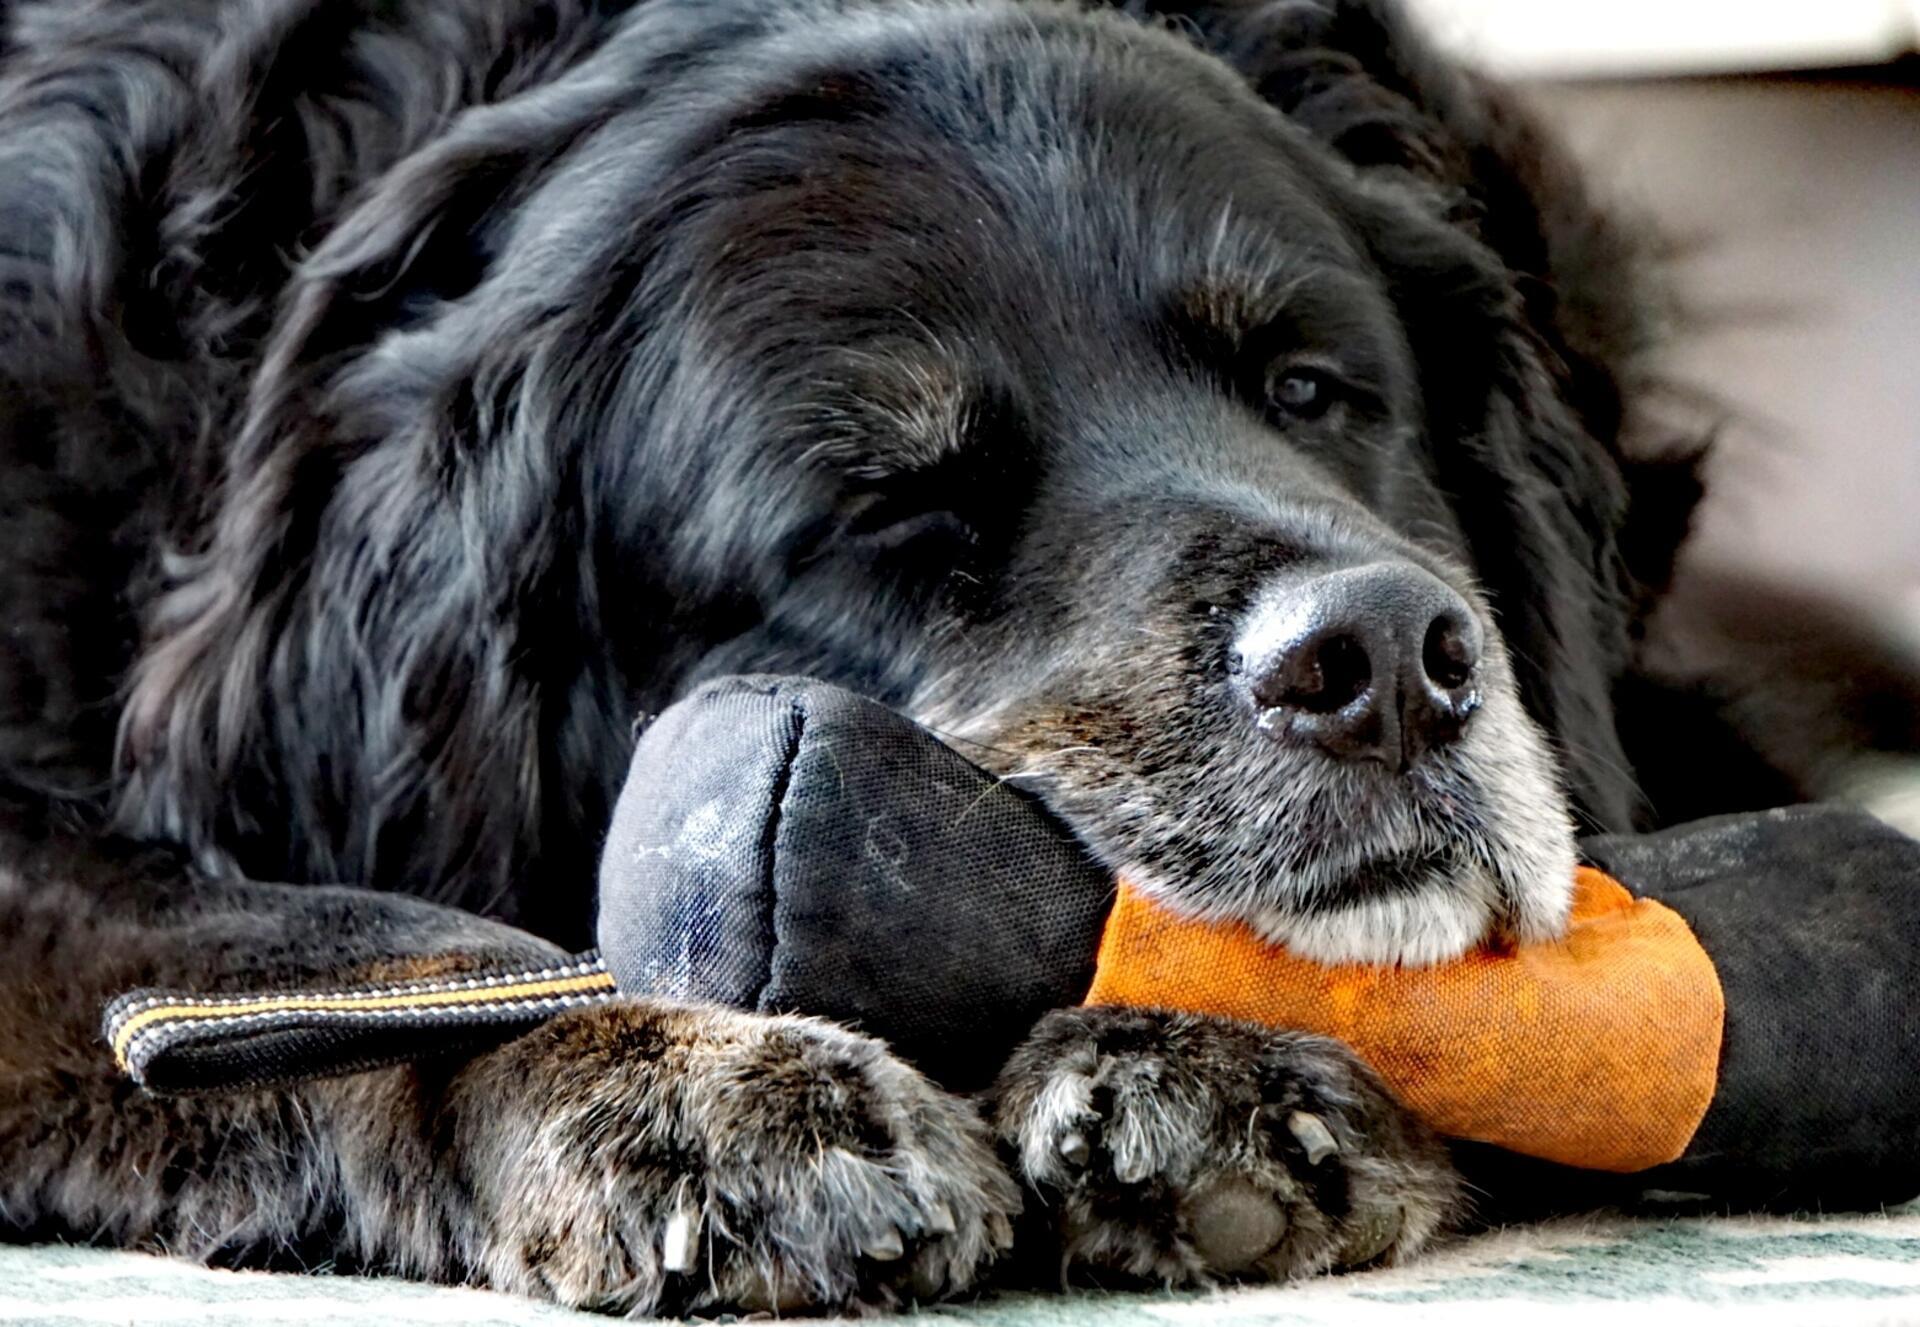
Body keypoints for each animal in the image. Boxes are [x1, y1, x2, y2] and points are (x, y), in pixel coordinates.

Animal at [0, 0, 1858, 1313]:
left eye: (1313, 393)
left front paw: (1200, 1053)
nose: (1387, 658)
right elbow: (329, 940)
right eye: (889, 511)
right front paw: (682, 1086)